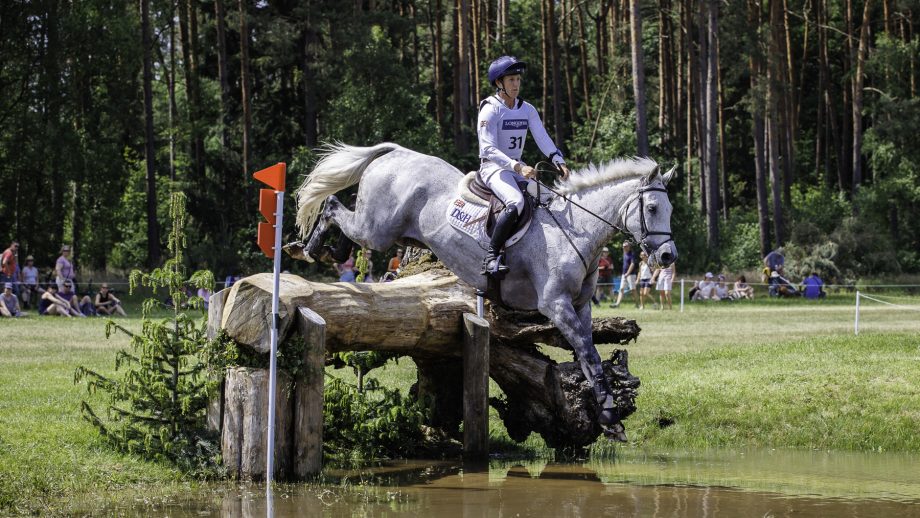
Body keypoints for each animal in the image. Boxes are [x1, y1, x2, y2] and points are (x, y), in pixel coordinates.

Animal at [296, 142, 676, 438]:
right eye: (652, 208)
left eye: (670, 209)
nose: (668, 256)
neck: (576, 231)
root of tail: (395, 152)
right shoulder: (556, 305)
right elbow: (589, 353)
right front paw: (609, 414)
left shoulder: (580, 307)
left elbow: (588, 355)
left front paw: (609, 417)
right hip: (376, 229)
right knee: (333, 207)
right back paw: (312, 248)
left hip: (387, 231)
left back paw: (326, 251)